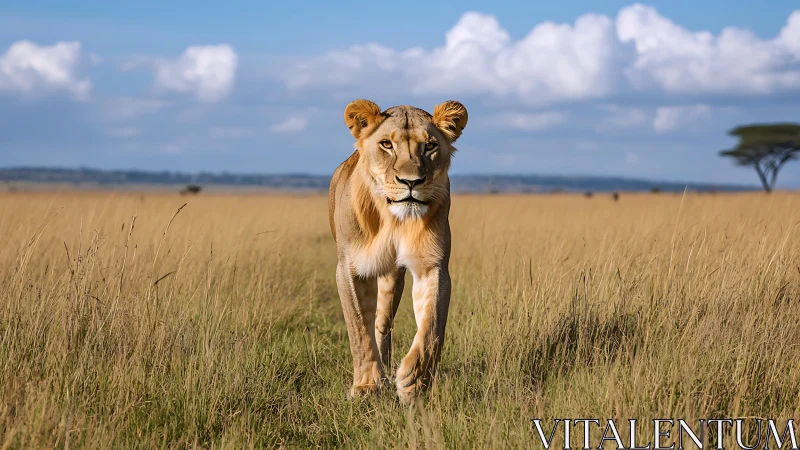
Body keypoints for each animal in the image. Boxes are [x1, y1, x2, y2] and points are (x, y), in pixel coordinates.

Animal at [328, 99, 468, 404]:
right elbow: (359, 329)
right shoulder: (348, 268)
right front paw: (367, 385)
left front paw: (414, 381)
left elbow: (432, 328)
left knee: (383, 323)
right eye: (386, 145)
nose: (411, 182)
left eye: (430, 146)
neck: (395, 220)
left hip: (392, 278)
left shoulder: (432, 266)